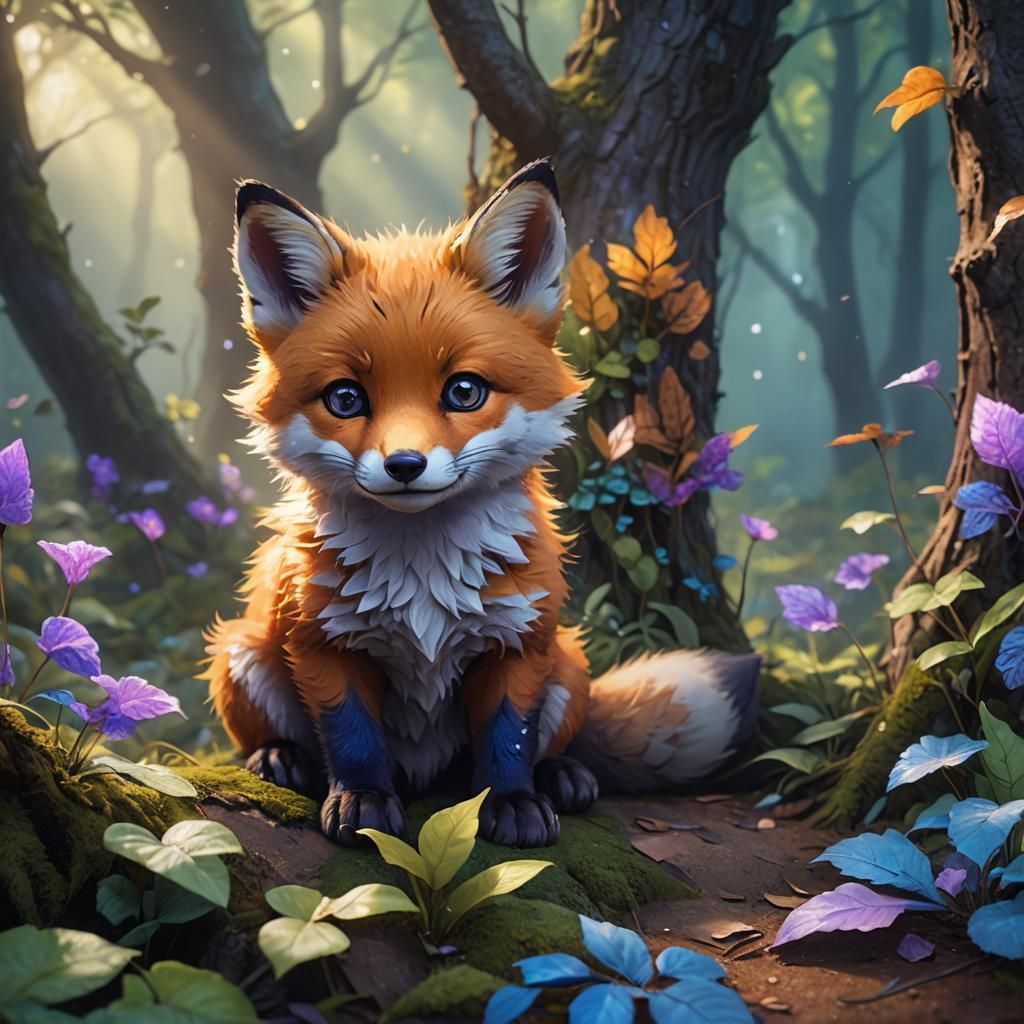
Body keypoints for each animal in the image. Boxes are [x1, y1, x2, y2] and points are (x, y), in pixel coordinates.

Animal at [204, 160, 760, 849]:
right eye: (345, 399)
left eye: (464, 391)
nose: (404, 465)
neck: (419, 576)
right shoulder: (321, 642)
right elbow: (351, 735)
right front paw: (362, 801)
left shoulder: (517, 642)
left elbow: (508, 737)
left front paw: (514, 804)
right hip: (243, 651)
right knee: (279, 731)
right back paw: (280, 758)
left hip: (568, 663)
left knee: (548, 745)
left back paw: (562, 776)